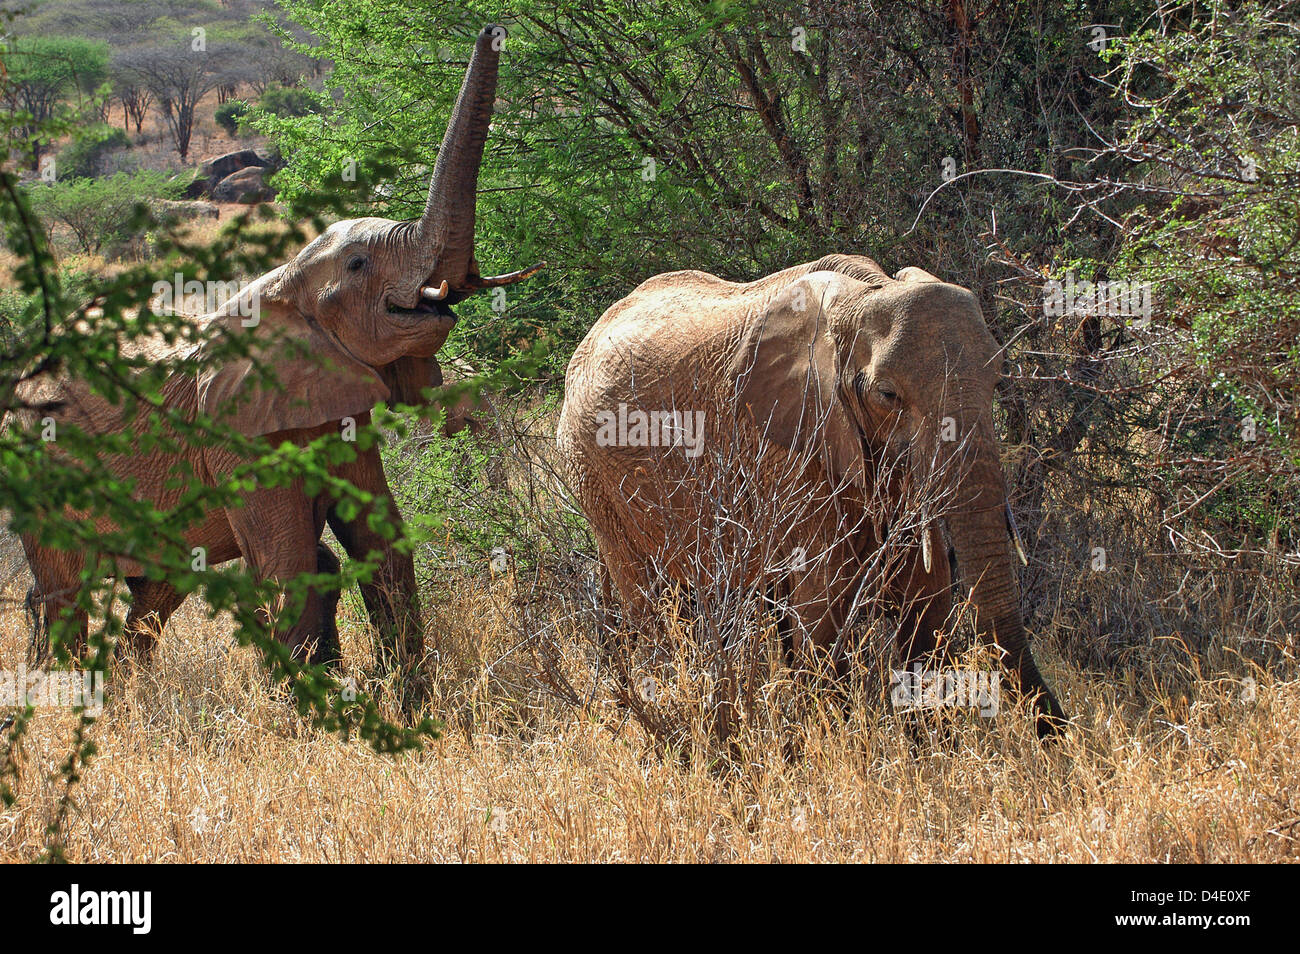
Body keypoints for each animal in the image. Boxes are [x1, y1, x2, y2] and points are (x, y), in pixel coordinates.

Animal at [11, 27, 538, 670]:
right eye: (358, 266)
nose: (493, 31)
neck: (282, 281)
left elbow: (380, 543)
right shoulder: (239, 436)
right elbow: (289, 568)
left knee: (153, 592)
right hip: (37, 469)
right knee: (65, 591)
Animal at [553, 254, 1071, 738]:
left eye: (998, 380)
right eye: (888, 395)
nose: (1060, 733)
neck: (863, 296)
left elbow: (925, 597)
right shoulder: (788, 446)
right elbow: (821, 607)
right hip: (594, 480)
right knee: (653, 605)